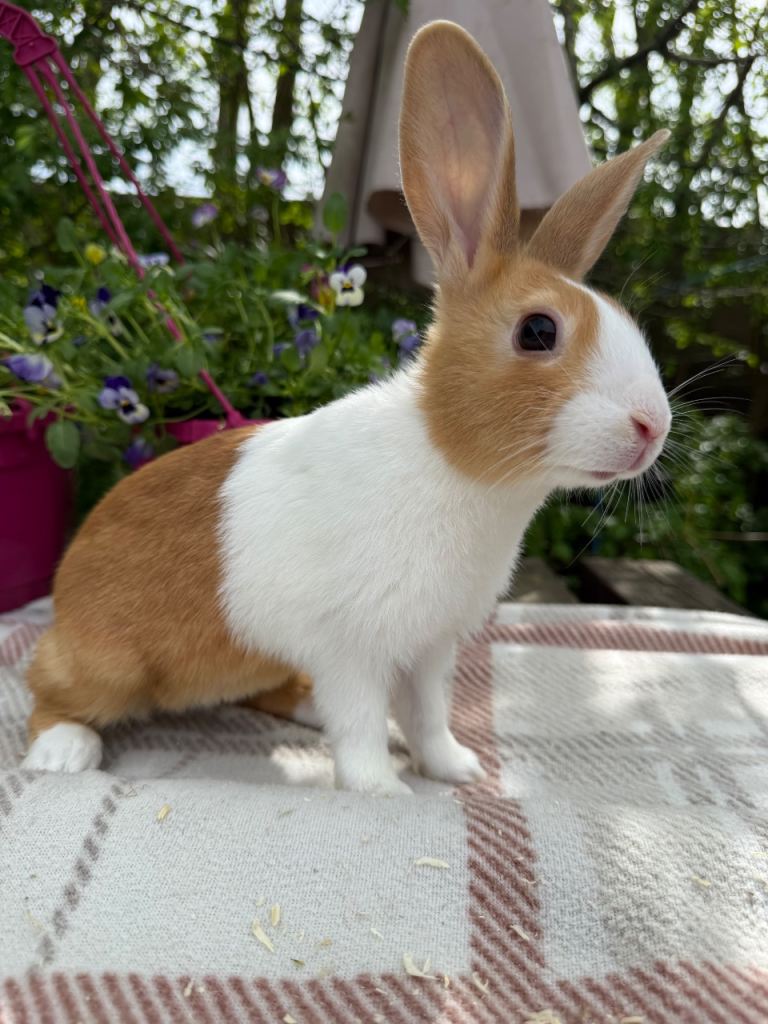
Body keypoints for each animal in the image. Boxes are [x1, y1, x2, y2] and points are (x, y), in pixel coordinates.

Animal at [22, 21, 672, 794]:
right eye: (538, 332)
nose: (653, 427)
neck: (452, 465)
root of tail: (64, 595)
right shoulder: (352, 649)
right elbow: (360, 723)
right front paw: (382, 791)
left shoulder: (429, 649)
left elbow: (427, 715)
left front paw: (456, 770)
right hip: (109, 665)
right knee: (44, 687)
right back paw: (63, 751)